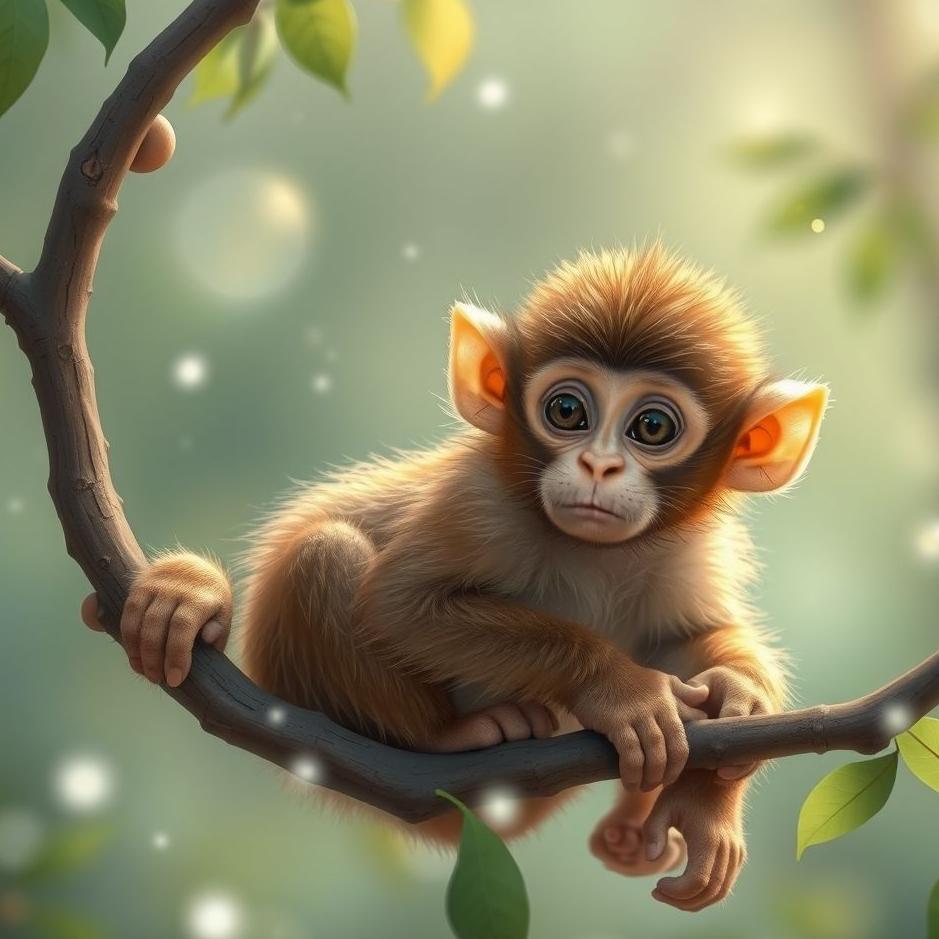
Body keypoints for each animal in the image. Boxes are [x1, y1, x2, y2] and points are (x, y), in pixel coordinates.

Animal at [82, 245, 827, 911]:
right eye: (567, 412)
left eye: (650, 426)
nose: (598, 467)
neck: (594, 554)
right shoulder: (478, 501)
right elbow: (400, 606)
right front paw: (618, 688)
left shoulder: (690, 551)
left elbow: (693, 639)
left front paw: (733, 712)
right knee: (324, 552)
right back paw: (443, 735)